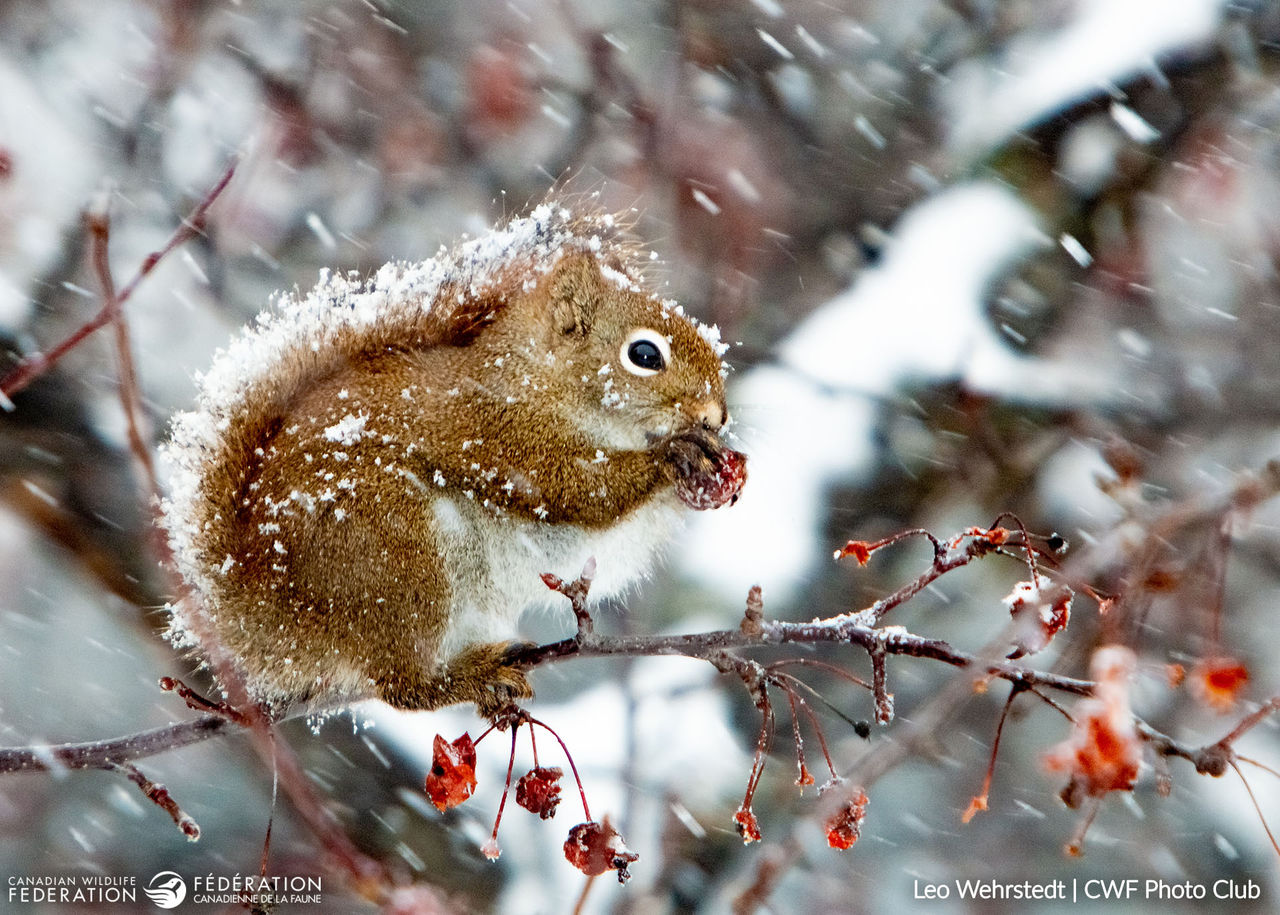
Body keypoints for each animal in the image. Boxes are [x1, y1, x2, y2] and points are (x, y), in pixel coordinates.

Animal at [160, 204, 746, 717]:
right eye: (644, 355)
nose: (716, 417)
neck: (539, 380)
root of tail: (275, 610)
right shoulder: (502, 437)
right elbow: (573, 489)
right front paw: (673, 456)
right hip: (392, 549)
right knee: (403, 688)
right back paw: (473, 678)